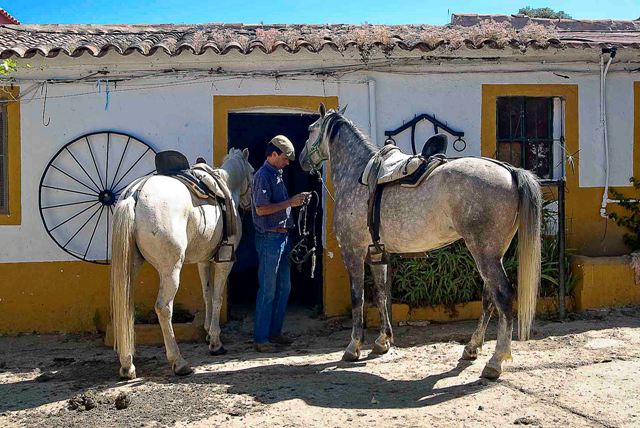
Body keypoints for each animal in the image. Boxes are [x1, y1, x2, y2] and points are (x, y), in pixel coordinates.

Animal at [110, 147, 252, 378]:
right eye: (253, 171)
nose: (250, 203)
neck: (225, 188)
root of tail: (135, 194)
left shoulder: (204, 260)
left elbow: (207, 294)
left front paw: (207, 333)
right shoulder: (225, 260)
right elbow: (218, 298)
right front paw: (215, 343)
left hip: (129, 267)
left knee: (125, 306)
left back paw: (127, 365)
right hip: (171, 270)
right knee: (163, 308)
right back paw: (179, 362)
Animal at [302, 105, 544, 380]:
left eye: (310, 130)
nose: (302, 159)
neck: (358, 175)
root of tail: (510, 172)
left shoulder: (353, 251)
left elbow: (358, 298)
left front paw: (354, 347)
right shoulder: (376, 253)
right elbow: (382, 293)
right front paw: (382, 342)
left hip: (484, 252)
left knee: (502, 296)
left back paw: (495, 362)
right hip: (494, 253)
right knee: (488, 297)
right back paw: (471, 348)